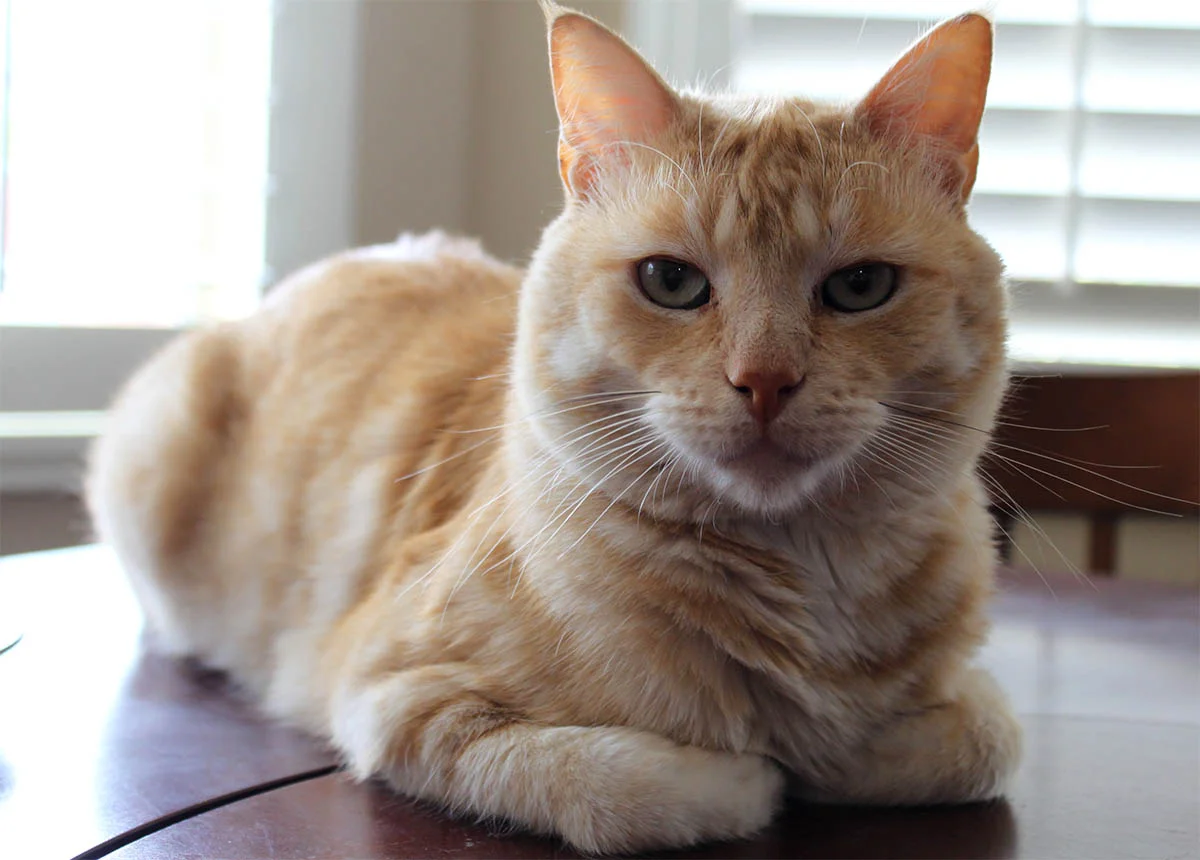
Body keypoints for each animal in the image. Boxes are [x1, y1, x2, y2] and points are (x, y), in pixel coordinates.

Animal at [87, 5, 1022, 854]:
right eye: (671, 281)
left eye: (861, 287)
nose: (764, 381)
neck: (802, 577)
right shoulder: (394, 695)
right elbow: (625, 786)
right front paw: (757, 773)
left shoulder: (971, 699)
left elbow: (979, 738)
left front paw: (839, 750)